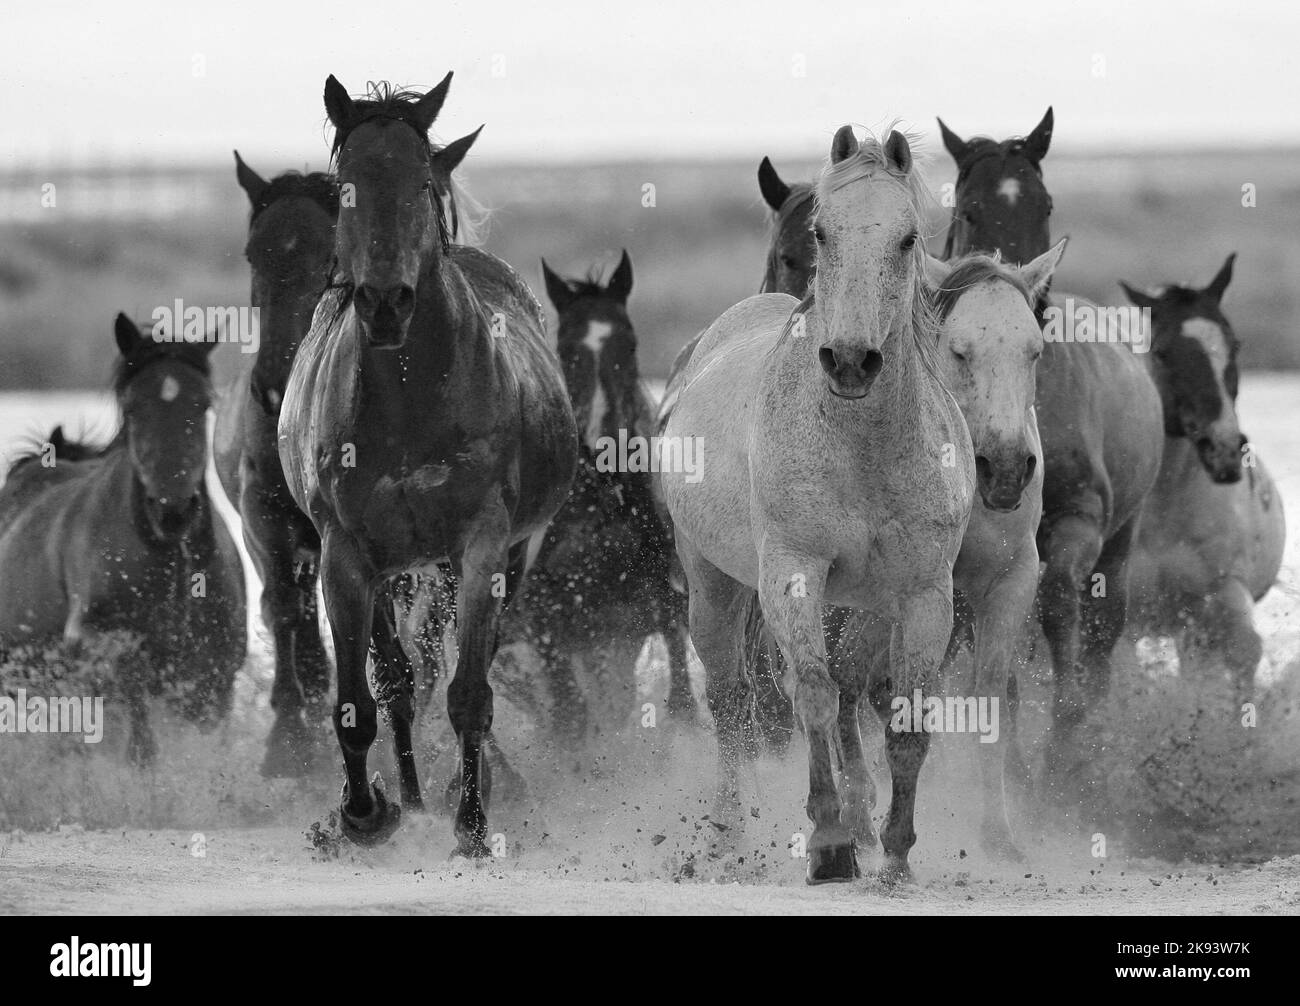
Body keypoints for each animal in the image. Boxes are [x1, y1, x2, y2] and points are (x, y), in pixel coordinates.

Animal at [0, 314, 245, 764]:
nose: (172, 510)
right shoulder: (98, 650)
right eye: (132, 406)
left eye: (203, 405)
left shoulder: (215, 682)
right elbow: (139, 736)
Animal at [660, 128, 977, 889]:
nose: (852, 362)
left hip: (854, 606)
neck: (862, 445)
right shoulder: (793, 572)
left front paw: (895, 852)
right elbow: (811, 694)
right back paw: (728, 832)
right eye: (822, 232)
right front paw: (830, 845)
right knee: (733, 698)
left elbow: (905, 721)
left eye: (907, 237)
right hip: (715, 584)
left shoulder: (925, 593)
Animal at [941, 110, 1164, 805]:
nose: (1025, 298)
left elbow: (1060, 597)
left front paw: (1063, 749)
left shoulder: (1077, 521)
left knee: (1099, 637)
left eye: (1044, 204)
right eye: (970, 206)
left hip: (1122, 546)